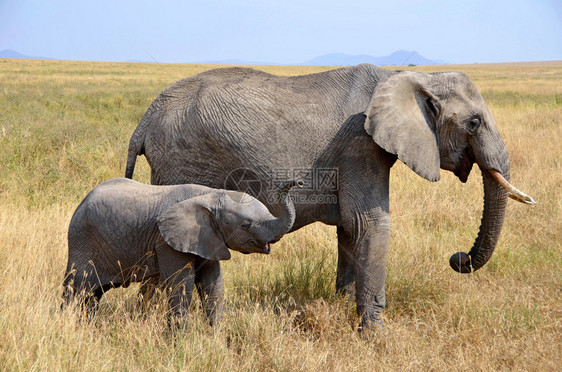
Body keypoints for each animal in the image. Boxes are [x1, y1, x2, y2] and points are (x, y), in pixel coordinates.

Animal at [63, 177, 300, 326]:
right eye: (246, 225)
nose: (298, 182)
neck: (211, 195)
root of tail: (82, 202)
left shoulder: (208, 238)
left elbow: (213, 284)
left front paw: (216, 338)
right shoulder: (166, 241)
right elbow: (180, 284)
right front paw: (179, 342)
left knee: (92, 295)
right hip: (82, 240)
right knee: (75, 288)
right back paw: (66, 325)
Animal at [126, 65, 532, 330]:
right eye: (474, 123)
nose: (457, 258)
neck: (413, 76)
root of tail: (144, 121)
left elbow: (351, 231)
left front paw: (341, 309)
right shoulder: (359, 144)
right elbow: (369, 223)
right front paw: (376, 337)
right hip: (179, 162)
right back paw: (149, 323)